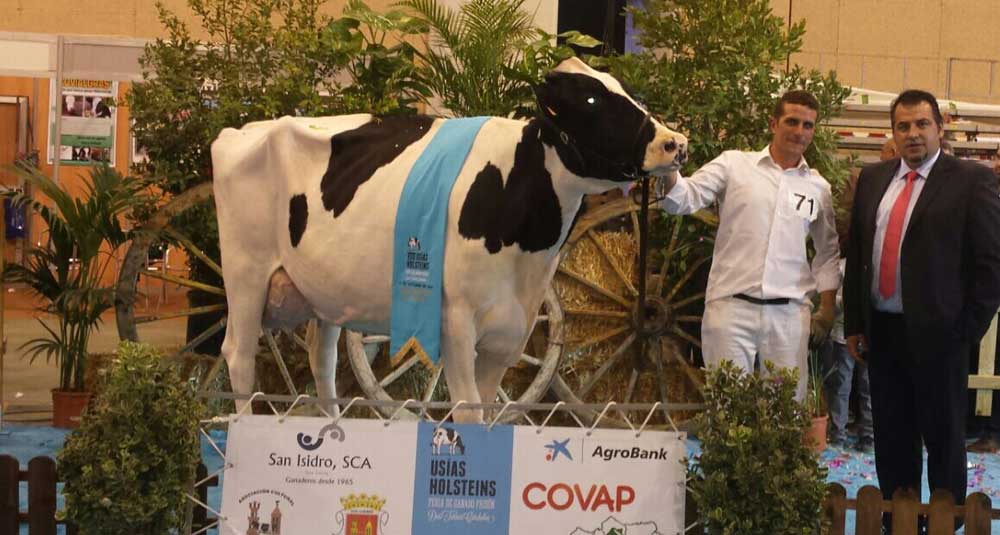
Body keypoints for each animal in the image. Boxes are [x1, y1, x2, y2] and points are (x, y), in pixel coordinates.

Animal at [211, 57, 688, 422]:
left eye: (627, 91)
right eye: (591, 100)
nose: (676, 143)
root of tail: (243, 129)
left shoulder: (510, 329)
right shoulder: (456, 323)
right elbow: (468, 411)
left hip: (323, 292)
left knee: (321, 361)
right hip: (245, 275)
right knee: (238, 355)